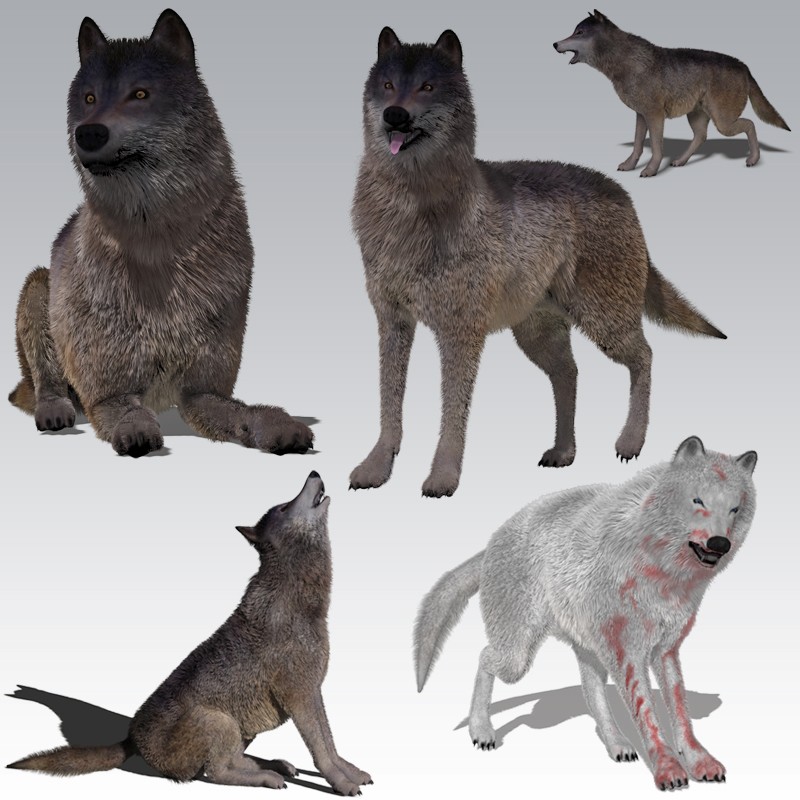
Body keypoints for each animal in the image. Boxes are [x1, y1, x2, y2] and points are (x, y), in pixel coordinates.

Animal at [8, 9, 313, 457]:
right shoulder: (110, 393)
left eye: (139, 94)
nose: (89, 132)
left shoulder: (202, 391)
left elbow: (245, 413)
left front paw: (279, 426)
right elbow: (125, 411)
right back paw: (54, 411)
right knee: (43, 383)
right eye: (89, 98)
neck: (157, 248)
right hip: (36, 285)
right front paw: (136, 430)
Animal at [8, 472, 372, 795]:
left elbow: (331, 743)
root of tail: (132, 739)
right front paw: (341, 784)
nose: (313, 471)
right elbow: (321, 751)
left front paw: (351, 772)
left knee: (231, 762)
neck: (302, 601)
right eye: (283, 507)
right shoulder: (299, 694)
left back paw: (273, 765)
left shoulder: (313, 691)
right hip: (218, 721)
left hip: (240, 729)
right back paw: (267, 777)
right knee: (217, 772)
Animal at [349, 28, 725, 498]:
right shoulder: (393, 322)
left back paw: (630, 441)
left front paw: (442, 478)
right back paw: (564, 451)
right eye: (387, 85)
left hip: (602, 321)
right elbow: (388, 404)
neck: (409, 210)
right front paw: (375, 468)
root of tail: (624, 196)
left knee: (645, 355)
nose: (394, 116)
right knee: (570, 373)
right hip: (536, 335)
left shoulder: (459, 333)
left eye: (427, 87)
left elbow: (452, 412)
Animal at [414, 437, 757, 790]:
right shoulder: (628, 653)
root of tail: (492, 542)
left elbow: (679, 712)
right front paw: (667, 769)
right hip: (517, 659)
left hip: (588, 651)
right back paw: (481, 729)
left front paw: (699, 761)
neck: (664, 576)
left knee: (591, 694)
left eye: (735, 508)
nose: (720, 543)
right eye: (698, 500)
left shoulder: (665, 651)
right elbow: (647, 713)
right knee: (483, 657)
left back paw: (618, 745)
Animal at [554, 10, 790, 176]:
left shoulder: (655, 115)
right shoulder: (641, 115)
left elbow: (656, 146)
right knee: (701, 137)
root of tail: (745, 66)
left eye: (579, 33)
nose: (555, 43)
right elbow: (638, 145)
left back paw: (753, 159)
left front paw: (651, 170)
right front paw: (630, 165)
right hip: (697, 117)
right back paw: (680, 161)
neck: (625, 62)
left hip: (723, 123)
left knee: (750, 124)